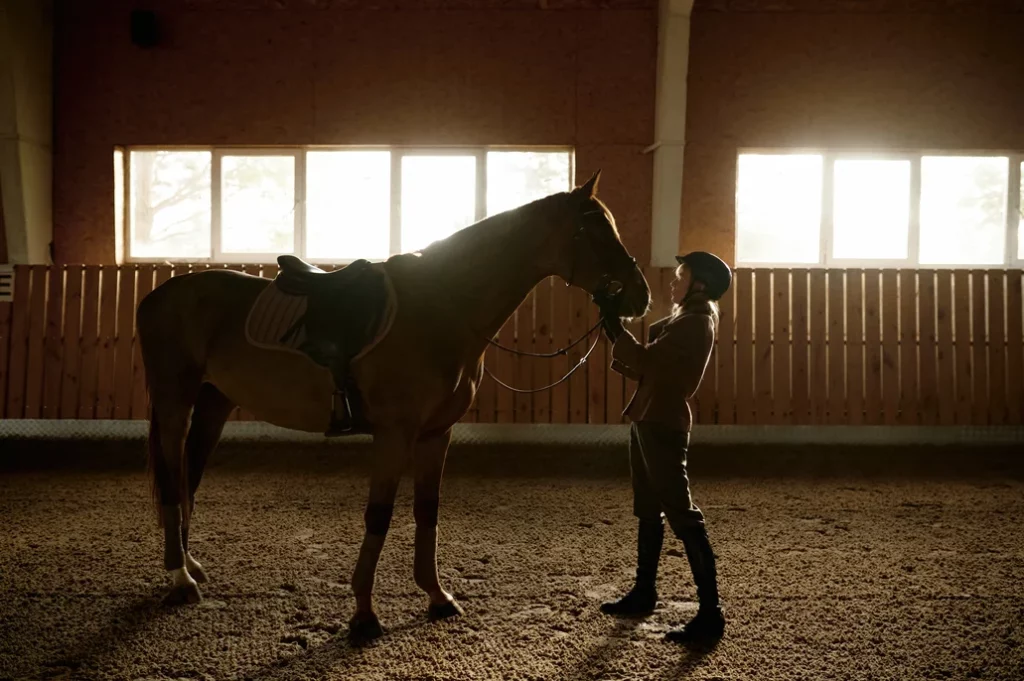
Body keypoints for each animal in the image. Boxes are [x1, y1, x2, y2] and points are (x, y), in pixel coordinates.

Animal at [136, 170, 652, 639]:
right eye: (592, 230)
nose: (640, 294)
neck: (443, 307)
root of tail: (157, 296)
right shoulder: (394, 435)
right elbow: (379, 515)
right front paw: (364, 614)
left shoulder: (435, 435)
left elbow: (427, 510)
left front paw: (437, 597)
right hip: (175, 402)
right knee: (172, 482)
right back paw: (180, 580)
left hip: (213, 404)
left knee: (189, 478)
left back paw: (190, 566)